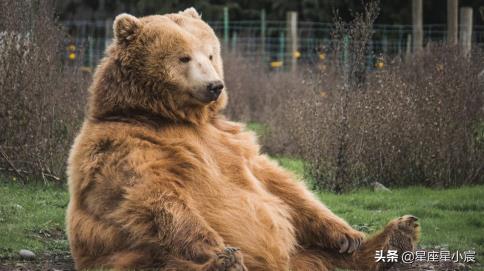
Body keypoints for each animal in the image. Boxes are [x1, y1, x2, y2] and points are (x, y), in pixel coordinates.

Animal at [65, 7, 420, 270]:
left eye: (210, 54)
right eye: (183, 57)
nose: (214, 85)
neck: (174, 116)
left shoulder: (229, 140)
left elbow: (279, 183)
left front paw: (347, 235)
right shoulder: (126, 145)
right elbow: (151, 195)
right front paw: (217, 250)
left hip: (303, 255)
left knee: (328, 259)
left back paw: (397, 234)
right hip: (127, 256)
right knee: (162, 261)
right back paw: (225, 262)